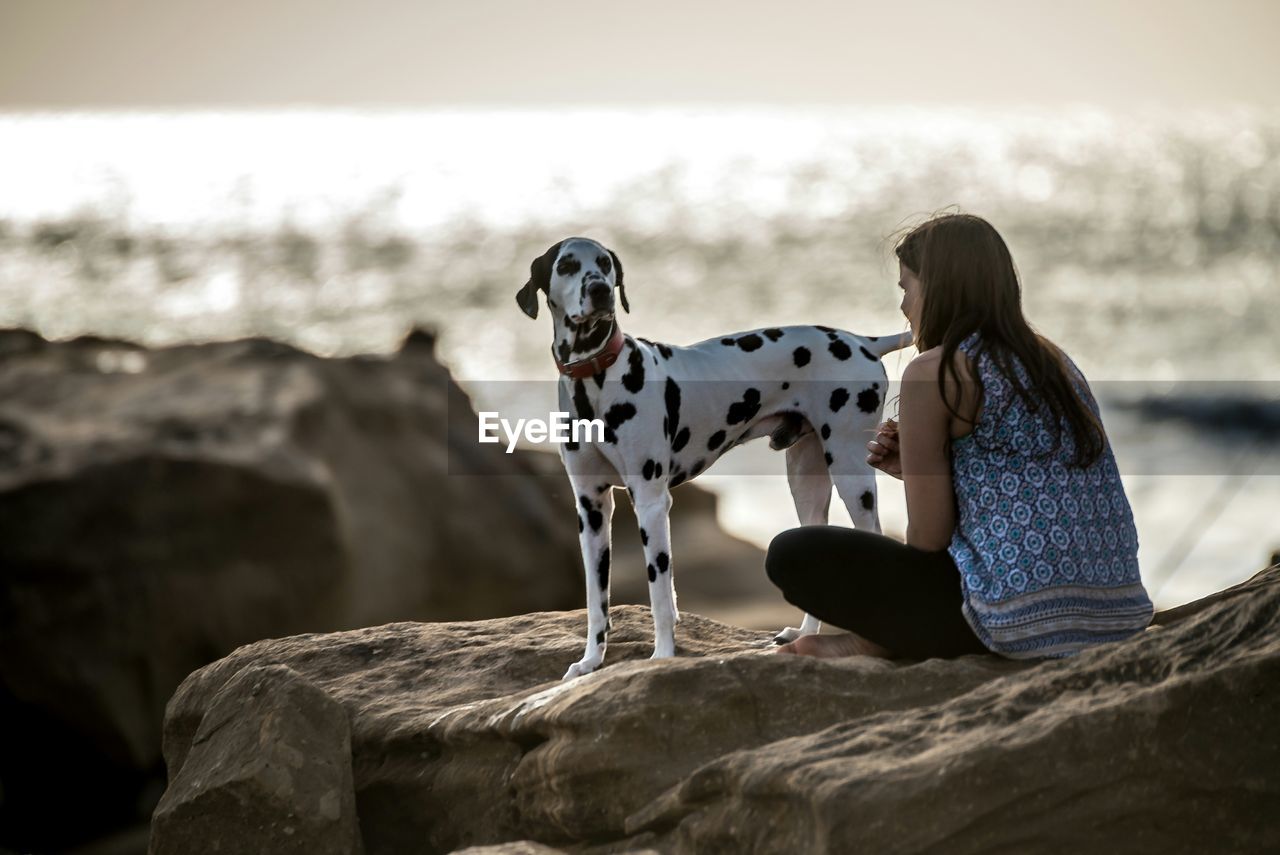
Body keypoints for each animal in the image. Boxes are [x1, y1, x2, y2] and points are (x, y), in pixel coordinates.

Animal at [514, 236, 916, 675]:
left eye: (604, 264)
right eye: (567, 264)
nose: (601, 290)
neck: (597, 379)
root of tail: (862, 341)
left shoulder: (651, 502)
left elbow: (659, 593)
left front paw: (662, 657)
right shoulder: (591, 508)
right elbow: (595, 599)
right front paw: (590, 661)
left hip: (850, 473)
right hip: (806, 481)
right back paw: (803, 634)